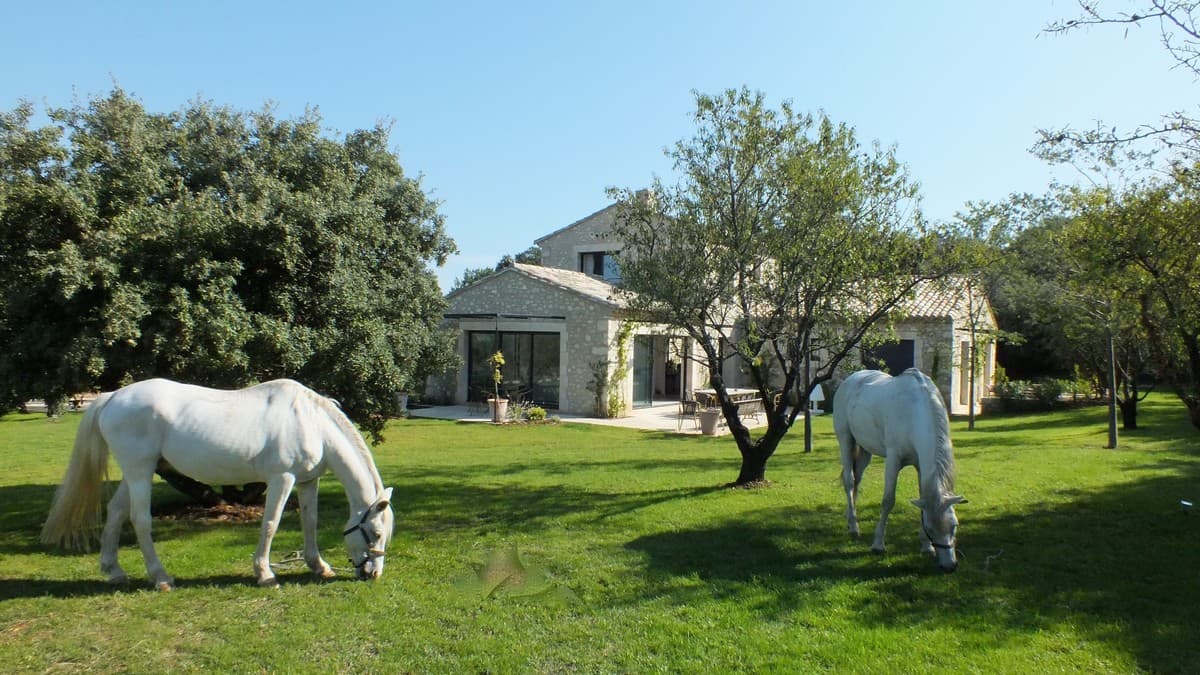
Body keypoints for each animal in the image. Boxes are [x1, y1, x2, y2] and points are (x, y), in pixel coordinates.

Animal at [40, 378, 396, 590]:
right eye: (376, 533)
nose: (374, 573)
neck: (311, 422)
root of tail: (113, 396)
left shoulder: (307, 481)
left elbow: (310, 522)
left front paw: (318, 566)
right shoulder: (282, 478)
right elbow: (270, 523)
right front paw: (265, 574)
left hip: (134, 473)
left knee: (115, 512)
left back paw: (113, 570)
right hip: (140, 472)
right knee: (139, 520)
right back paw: (161, 578)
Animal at [832, 368, 966, 572]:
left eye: (954, 525)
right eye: (931, 528)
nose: (949, 566)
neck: (914, 412)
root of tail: (850, 379)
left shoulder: (920, 466)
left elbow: (923, 498)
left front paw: (926, 547)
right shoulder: (893, 460)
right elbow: (888, 501)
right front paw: (878, 545)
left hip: (864, 450)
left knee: (857, 481)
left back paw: (850, 520)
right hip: (845, 439)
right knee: (849, 481)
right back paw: (854, 528)